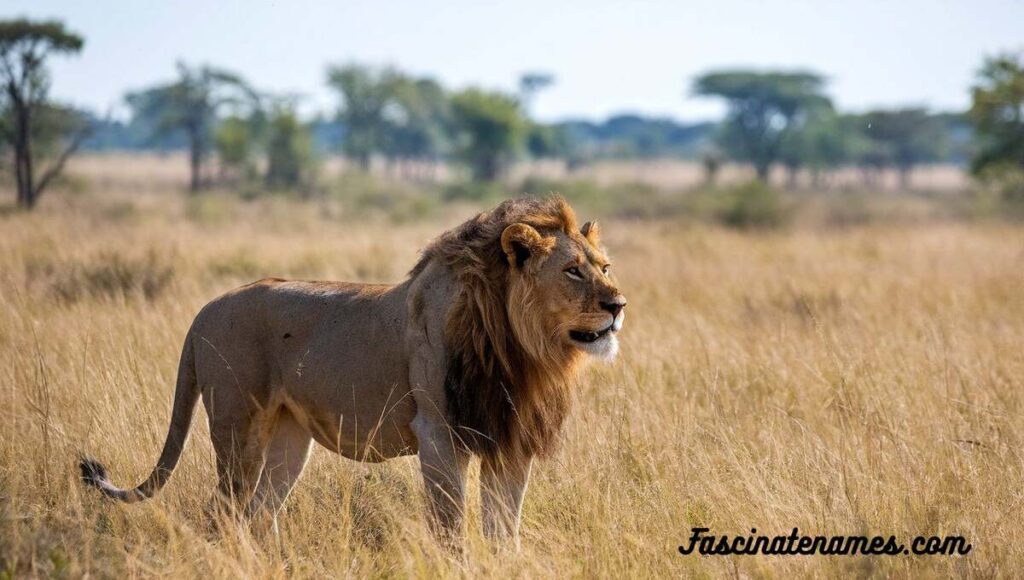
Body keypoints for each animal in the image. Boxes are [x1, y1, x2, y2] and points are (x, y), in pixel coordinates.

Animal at [80, 196, 627, 545]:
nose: (618, 305)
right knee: (224, 512)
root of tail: (203, 311)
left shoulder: (509, 440)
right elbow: (452, 529)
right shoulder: (439, 434)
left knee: (260, 511)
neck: (521, 348)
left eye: (604, 267)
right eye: (572, 271)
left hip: (288, 438)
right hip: (238, 430)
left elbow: (503, 530)